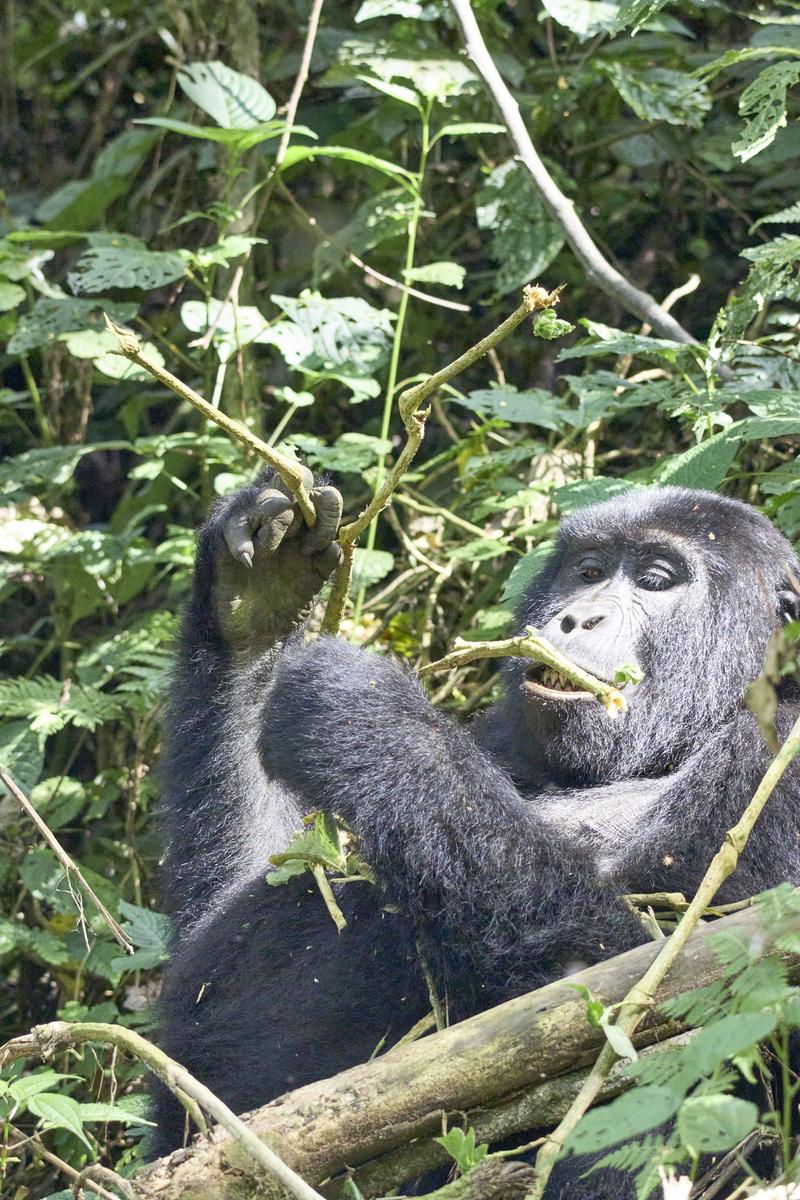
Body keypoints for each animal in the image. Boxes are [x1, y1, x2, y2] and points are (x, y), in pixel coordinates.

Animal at [149, 465, 800, 1190]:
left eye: (657, 580)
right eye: (589, 570)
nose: (579, 615)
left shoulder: (786, 759)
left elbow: (656, 996)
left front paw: (373, 723)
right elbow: (248, 896)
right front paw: (254, 602)